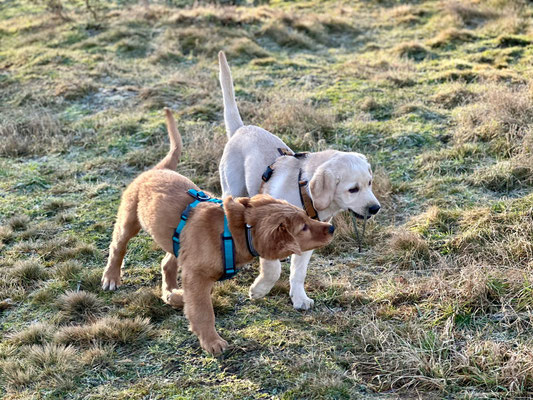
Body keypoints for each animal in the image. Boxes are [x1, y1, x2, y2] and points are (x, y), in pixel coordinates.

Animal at [101, 108, 332, 354]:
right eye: (303, 227)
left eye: (307, 218)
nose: (331, 227)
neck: (236, 232)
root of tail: (158, 169)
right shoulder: (197, 277)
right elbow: (203, 312)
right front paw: (212, 342)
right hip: (128, 221)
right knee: (117, 248)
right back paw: (111, 278)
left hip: (176, 242)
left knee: (166, 264)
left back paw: (172, 294)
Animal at [215, 51, 378, 310]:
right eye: (353, 189)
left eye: (370, 183)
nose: (375, 208)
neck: (304, 196)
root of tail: (242, 128)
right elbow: (273, 267)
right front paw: (259, 289)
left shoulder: (310, 237)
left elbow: (297, 272)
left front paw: (299, 298)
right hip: (233, 187)